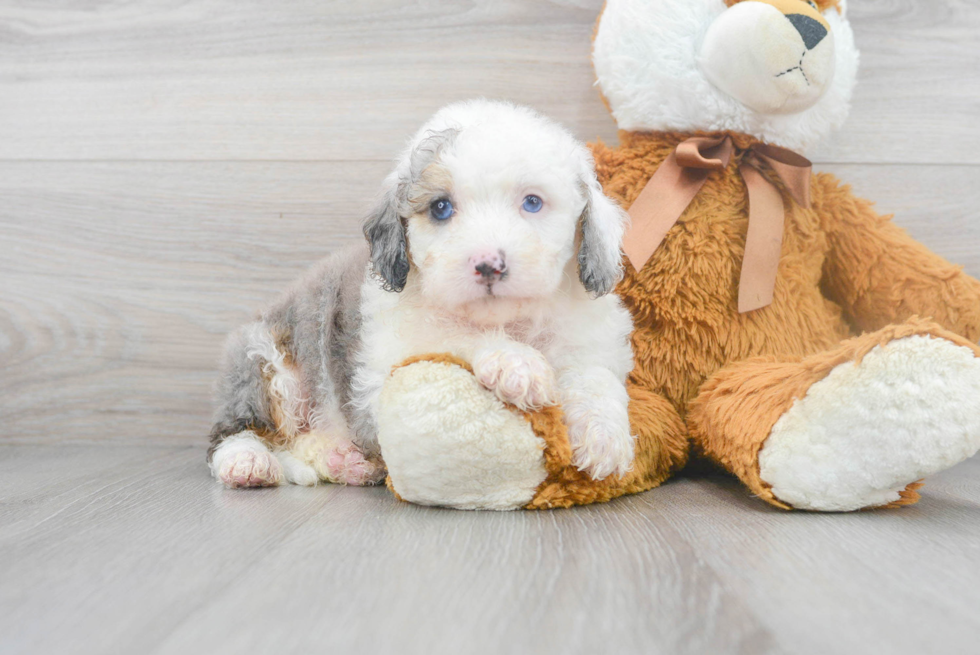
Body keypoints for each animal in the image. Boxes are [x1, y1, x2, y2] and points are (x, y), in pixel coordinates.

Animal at [208, 100, 636, 490]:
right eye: (441, 207)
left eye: (532, 202)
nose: (488, 265)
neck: (509, 319)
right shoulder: (384, 366)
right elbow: (451, 335)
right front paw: (516, 362)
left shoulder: (589, 341)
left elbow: (595, 378)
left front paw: (604, 437)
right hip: (263, 362)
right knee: (237, 430)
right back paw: (247, 462)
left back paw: (343, 461)